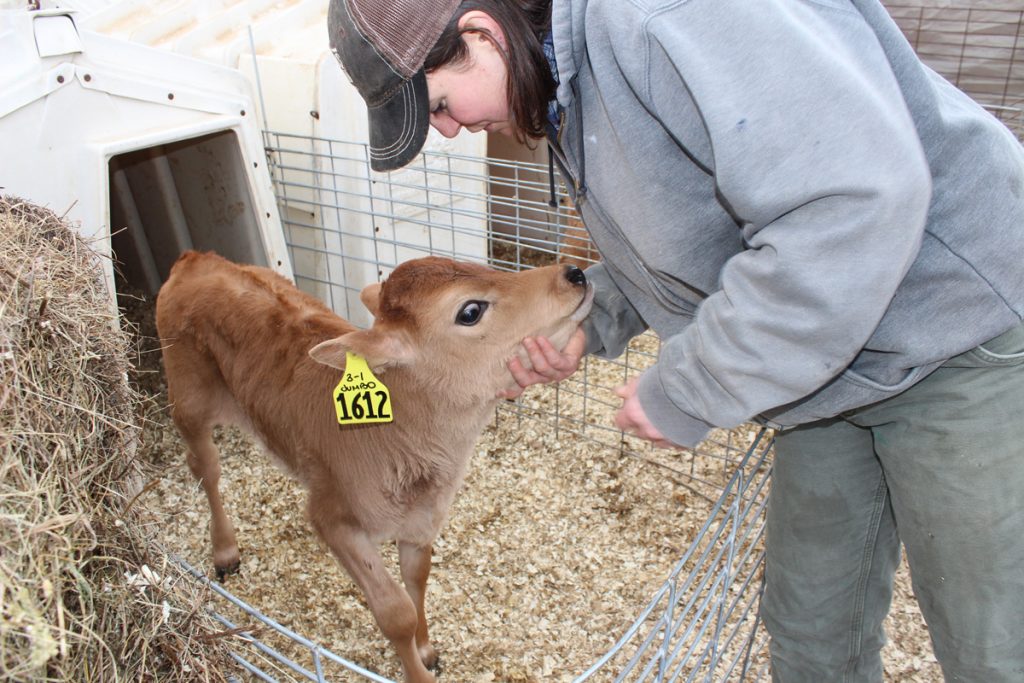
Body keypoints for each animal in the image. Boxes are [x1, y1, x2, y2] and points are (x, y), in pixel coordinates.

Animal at [156, 250, 598, 683]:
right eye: (470, 311)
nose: (574, 273)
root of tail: (195, 258)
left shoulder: (423, 518)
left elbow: (417, 583)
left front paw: (426, 651)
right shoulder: (333, 519)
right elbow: (395, 613)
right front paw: (417, 671)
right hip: (188, 399)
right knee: (205, 468)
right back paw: (224, 551)